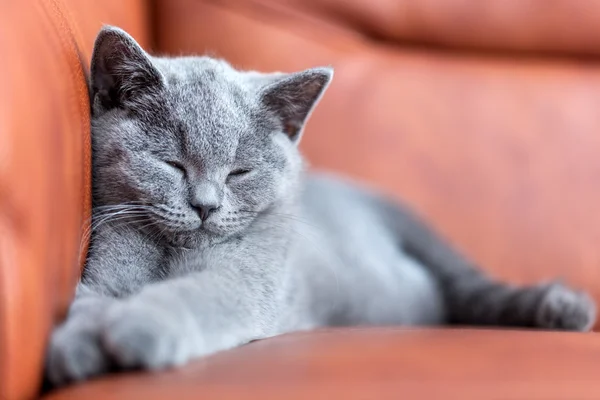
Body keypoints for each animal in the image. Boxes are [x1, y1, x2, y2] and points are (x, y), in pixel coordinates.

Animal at [45, 25, 596, 388]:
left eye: (239, 172)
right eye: (172, 164)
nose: (204, 206)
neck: (168, 252)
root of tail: (367, 196)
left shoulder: (247, 279)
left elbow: (195, 295)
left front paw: (135, 327)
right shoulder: (105, 271)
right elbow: (89, 300)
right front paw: (75, 347)